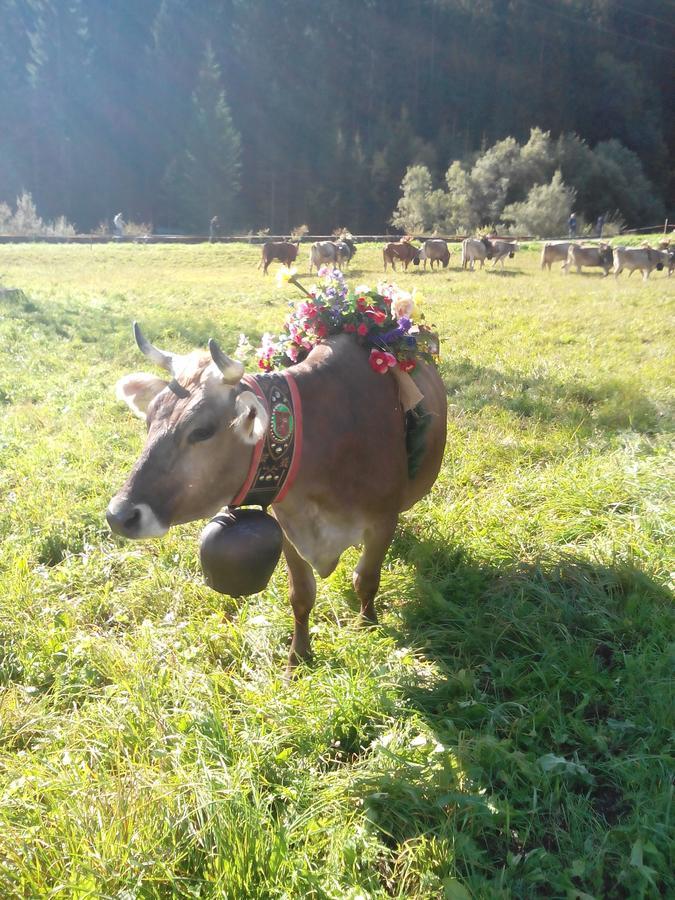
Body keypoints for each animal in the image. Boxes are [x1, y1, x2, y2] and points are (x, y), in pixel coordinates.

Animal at [108, 324, 448, 668]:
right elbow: (301, 595)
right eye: (149, 420)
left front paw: (367, 625)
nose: (119, 515)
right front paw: (298, 657)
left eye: (202, 430)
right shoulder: (287, 526)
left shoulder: (382, 520)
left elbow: (365, 579)